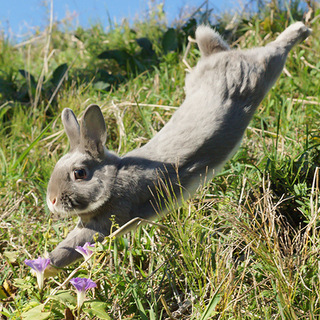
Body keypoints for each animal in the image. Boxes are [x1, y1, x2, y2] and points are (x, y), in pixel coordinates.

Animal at [46, 21, 312, 268]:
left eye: (80, 173)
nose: (52, 201)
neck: (114, 177)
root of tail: (217, 55)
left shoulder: (112, 217)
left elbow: (72, 246)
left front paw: (43, 271)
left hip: (262, 71)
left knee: (275, 50)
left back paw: (301, 29)